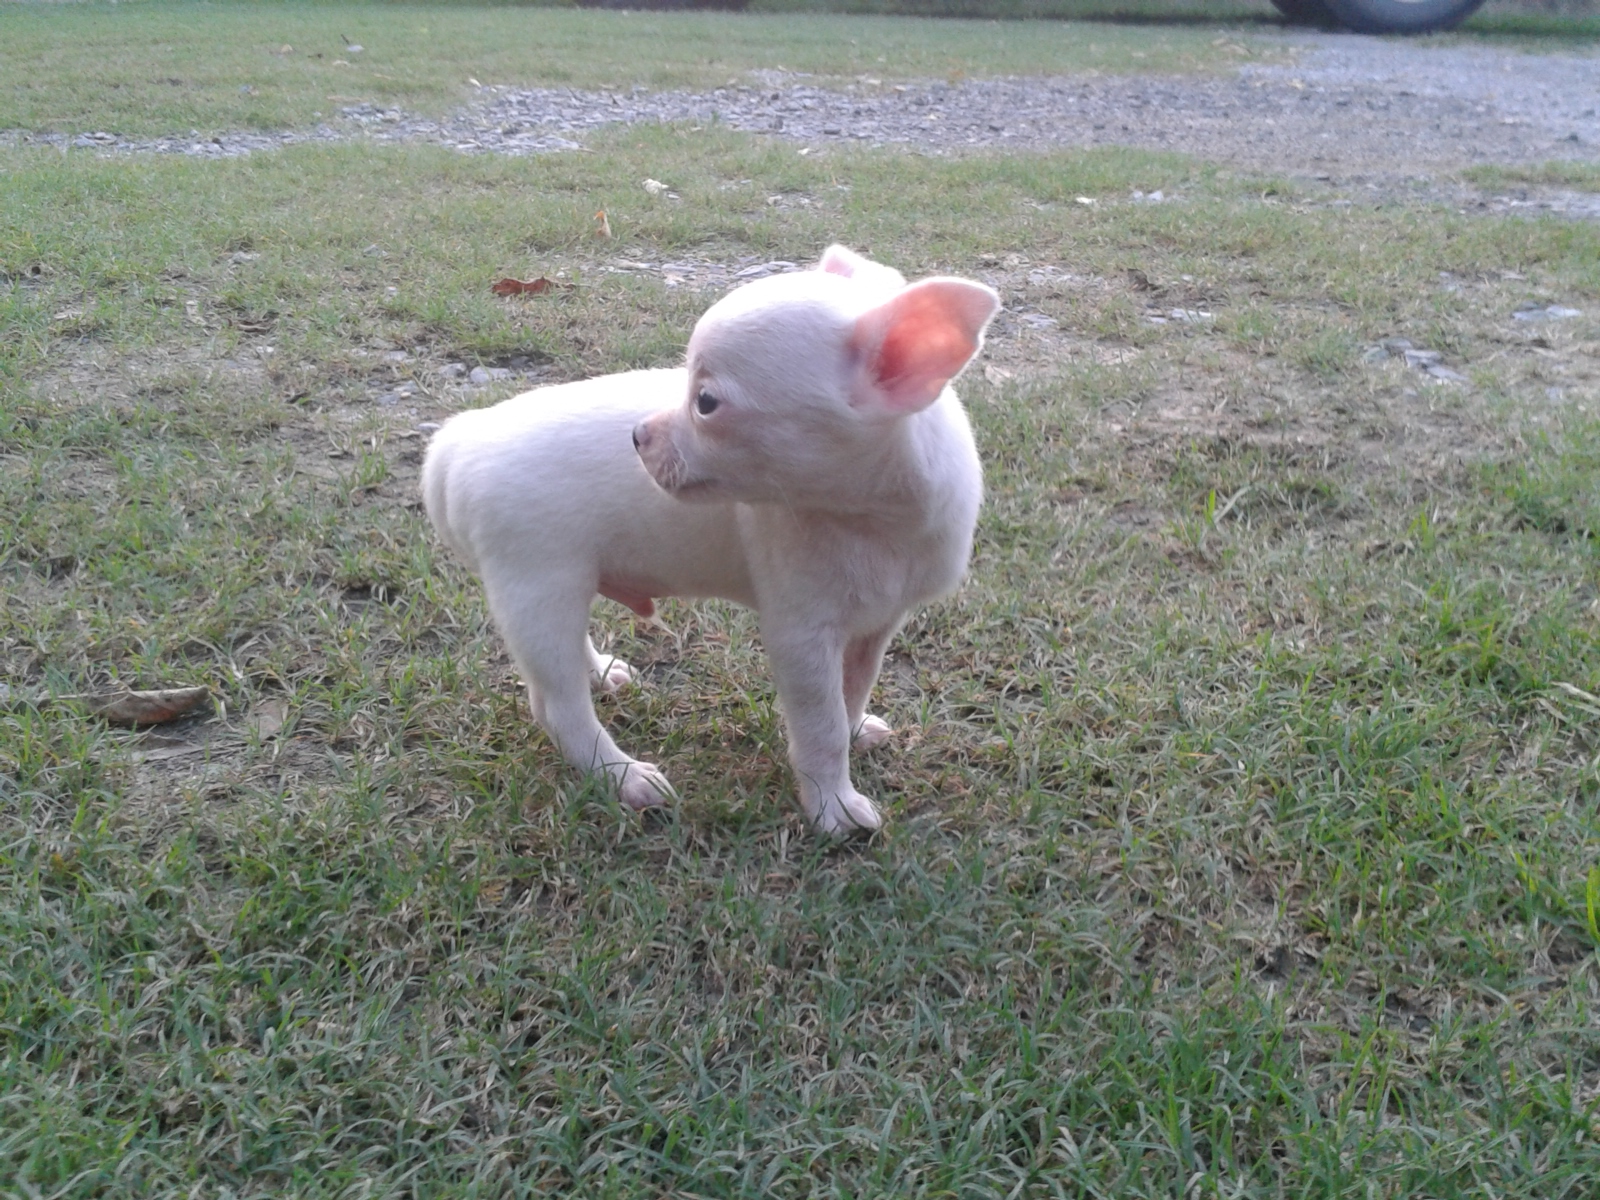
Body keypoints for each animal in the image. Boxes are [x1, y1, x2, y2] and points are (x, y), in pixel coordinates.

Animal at [422, 245, 999, 833]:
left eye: (704, 402)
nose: (636, 436)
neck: (867, 522)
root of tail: (457, 442)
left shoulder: (877, 624)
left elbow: (853, 690)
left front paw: (856, 730)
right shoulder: (801, 636)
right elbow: (822, 729)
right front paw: (832, 807)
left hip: (558, 590)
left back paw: (600, 673)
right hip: (537, 587)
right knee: (557, 706)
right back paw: (621, 774)